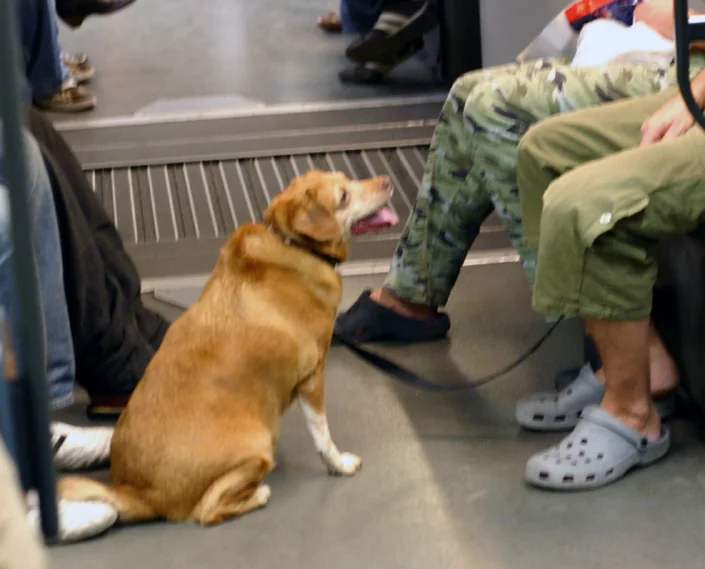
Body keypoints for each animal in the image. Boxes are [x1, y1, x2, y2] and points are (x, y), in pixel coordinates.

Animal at [57, 170, 398, 528]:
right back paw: (259, 494)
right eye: (343, 195)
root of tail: (139, 492)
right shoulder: (313, 377)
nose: (387, 181)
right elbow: (323, 436)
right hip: (257, 444)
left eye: (346, 178)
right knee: (207, 511)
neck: (291, 243)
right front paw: (339, 464)